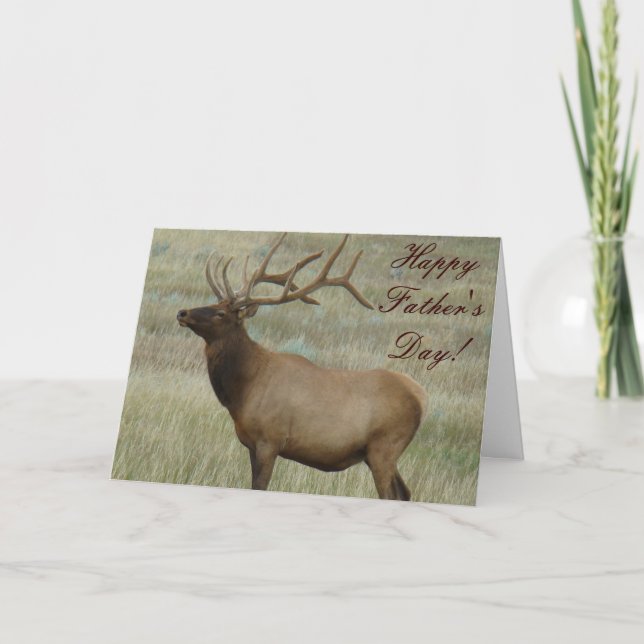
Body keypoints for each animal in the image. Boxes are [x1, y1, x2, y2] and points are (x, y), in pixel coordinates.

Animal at [176, 233, 428, 501]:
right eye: (214, 303)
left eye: (221, 313)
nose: (182, 312)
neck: (243, 391)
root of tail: (421, 396)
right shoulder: (251, 444)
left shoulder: (269, 440)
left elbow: (260, 486)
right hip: (378, 453)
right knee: (405, 492)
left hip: (385, 446)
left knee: (391, 494)